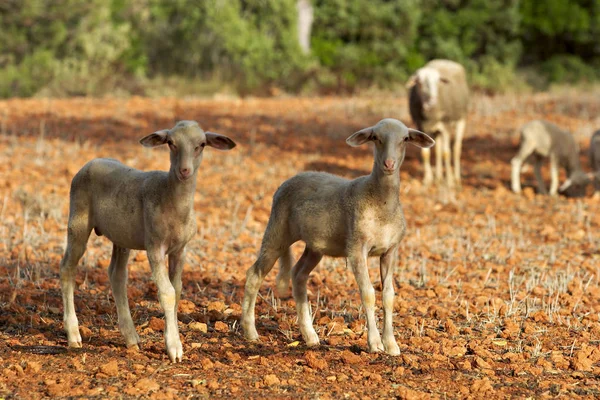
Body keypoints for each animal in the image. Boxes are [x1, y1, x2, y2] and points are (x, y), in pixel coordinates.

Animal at [59, 119, 237, 362]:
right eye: (171, 143)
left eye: (201, 144)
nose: (184, 171)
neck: (170, 197)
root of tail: (91, 161)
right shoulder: (155, 247)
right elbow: (167, 293)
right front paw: (174, 347)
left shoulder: (180, 250)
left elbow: (177, 290)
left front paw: (173, 339)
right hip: (78, 220)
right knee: (67, 268)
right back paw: (74, 335)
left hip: (121, 236)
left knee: (116, 275)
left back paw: (131, 338)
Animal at [241, 117, 434, 354]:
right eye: (376, 138)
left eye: (405, 138)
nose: (389, 164)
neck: (380, 202)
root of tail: (290, 178)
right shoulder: (357, 248)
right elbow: (368, 293)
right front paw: (375, 344)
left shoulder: (390, 250)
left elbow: (388, 296)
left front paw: (392, 345)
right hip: (277, 229)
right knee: (255, 274)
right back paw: (251, 332)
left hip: (315, 245)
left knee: (298, 274)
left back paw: (310, 336)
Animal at [406, 59, 472, 188]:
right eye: (419, 82)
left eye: (437, 82)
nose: (432, 100)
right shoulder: (421, 126)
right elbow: (425, 154)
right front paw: (427, 180)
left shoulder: (445, 125)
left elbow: (446, 153)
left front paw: (449, 181)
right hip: (437, 130)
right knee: (438, 150)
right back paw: (438, 177)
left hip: (461, 118)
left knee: (456, 148)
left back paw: (456, 179)